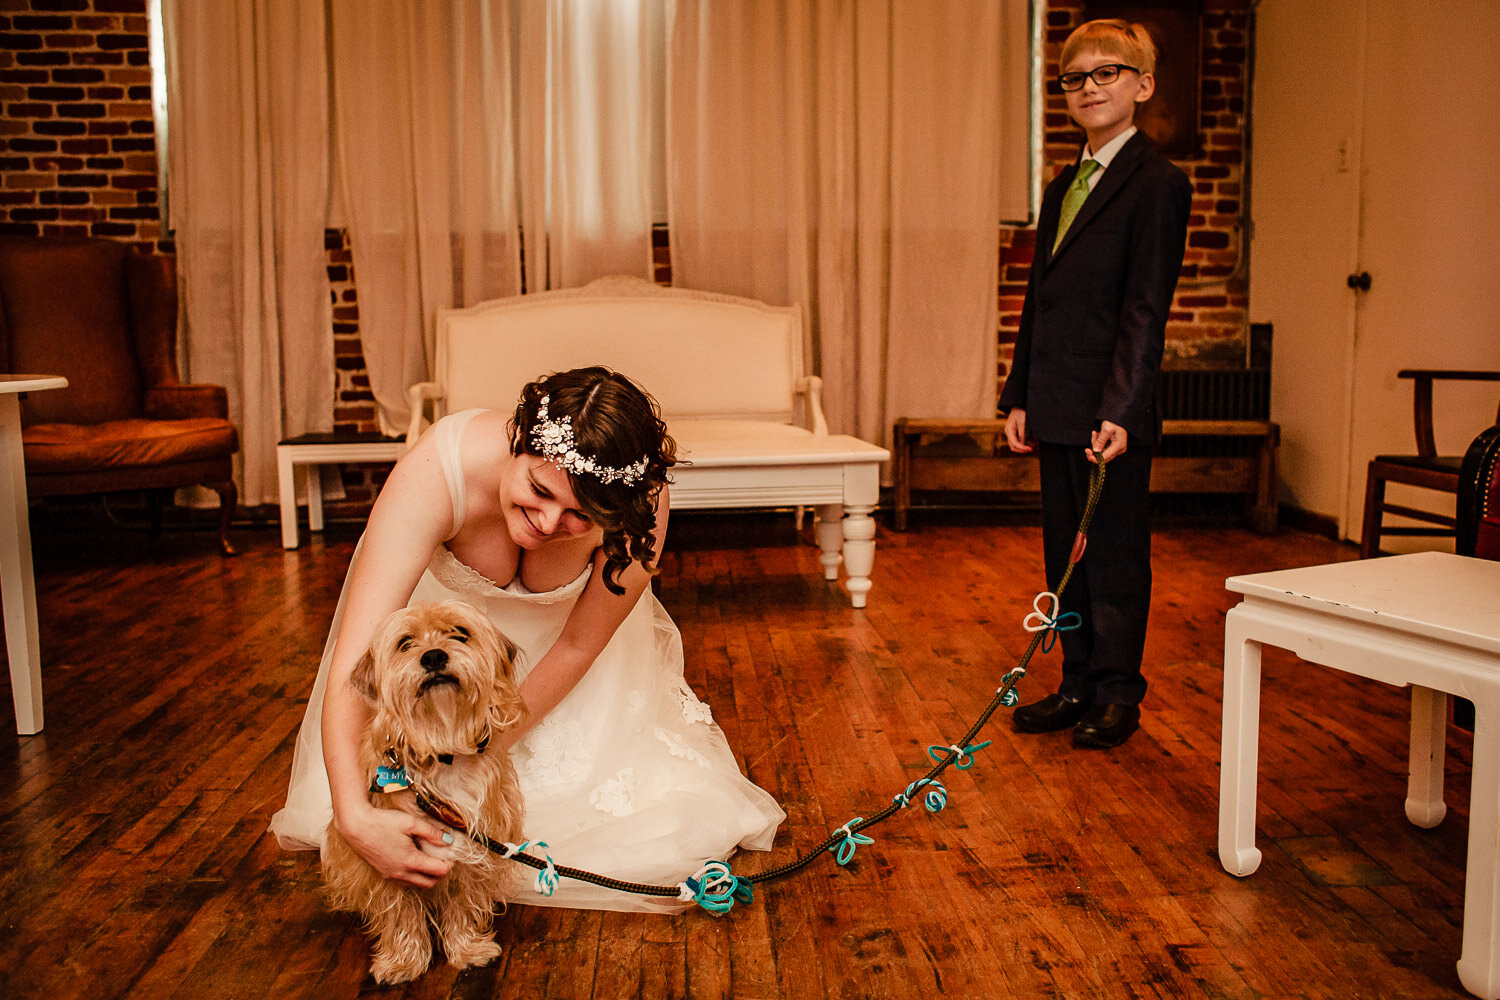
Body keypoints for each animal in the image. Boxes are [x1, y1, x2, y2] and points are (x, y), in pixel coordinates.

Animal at [322, 602, 528, 983]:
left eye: (460, 633)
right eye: (405, 643)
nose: (433, 656)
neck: (441, 748)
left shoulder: (473, 849)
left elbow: (464, 902)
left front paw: (468, 949)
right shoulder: (385, 855)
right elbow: (399, 912)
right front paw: (402, 960)